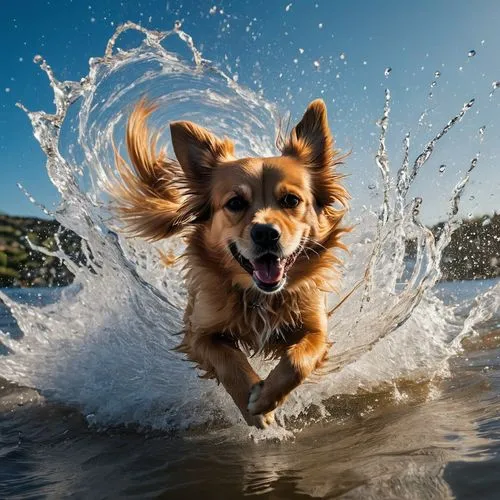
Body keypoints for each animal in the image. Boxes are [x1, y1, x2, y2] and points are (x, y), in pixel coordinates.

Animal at [109, 98, 348, 430]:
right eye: (235, 203)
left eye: (291, 200)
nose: (265, 233)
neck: (261, 296)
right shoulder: (198, 332)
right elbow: (227, 360)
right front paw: (254, 407)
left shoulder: (316, 329)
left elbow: (298, 360)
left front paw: (266, 398)